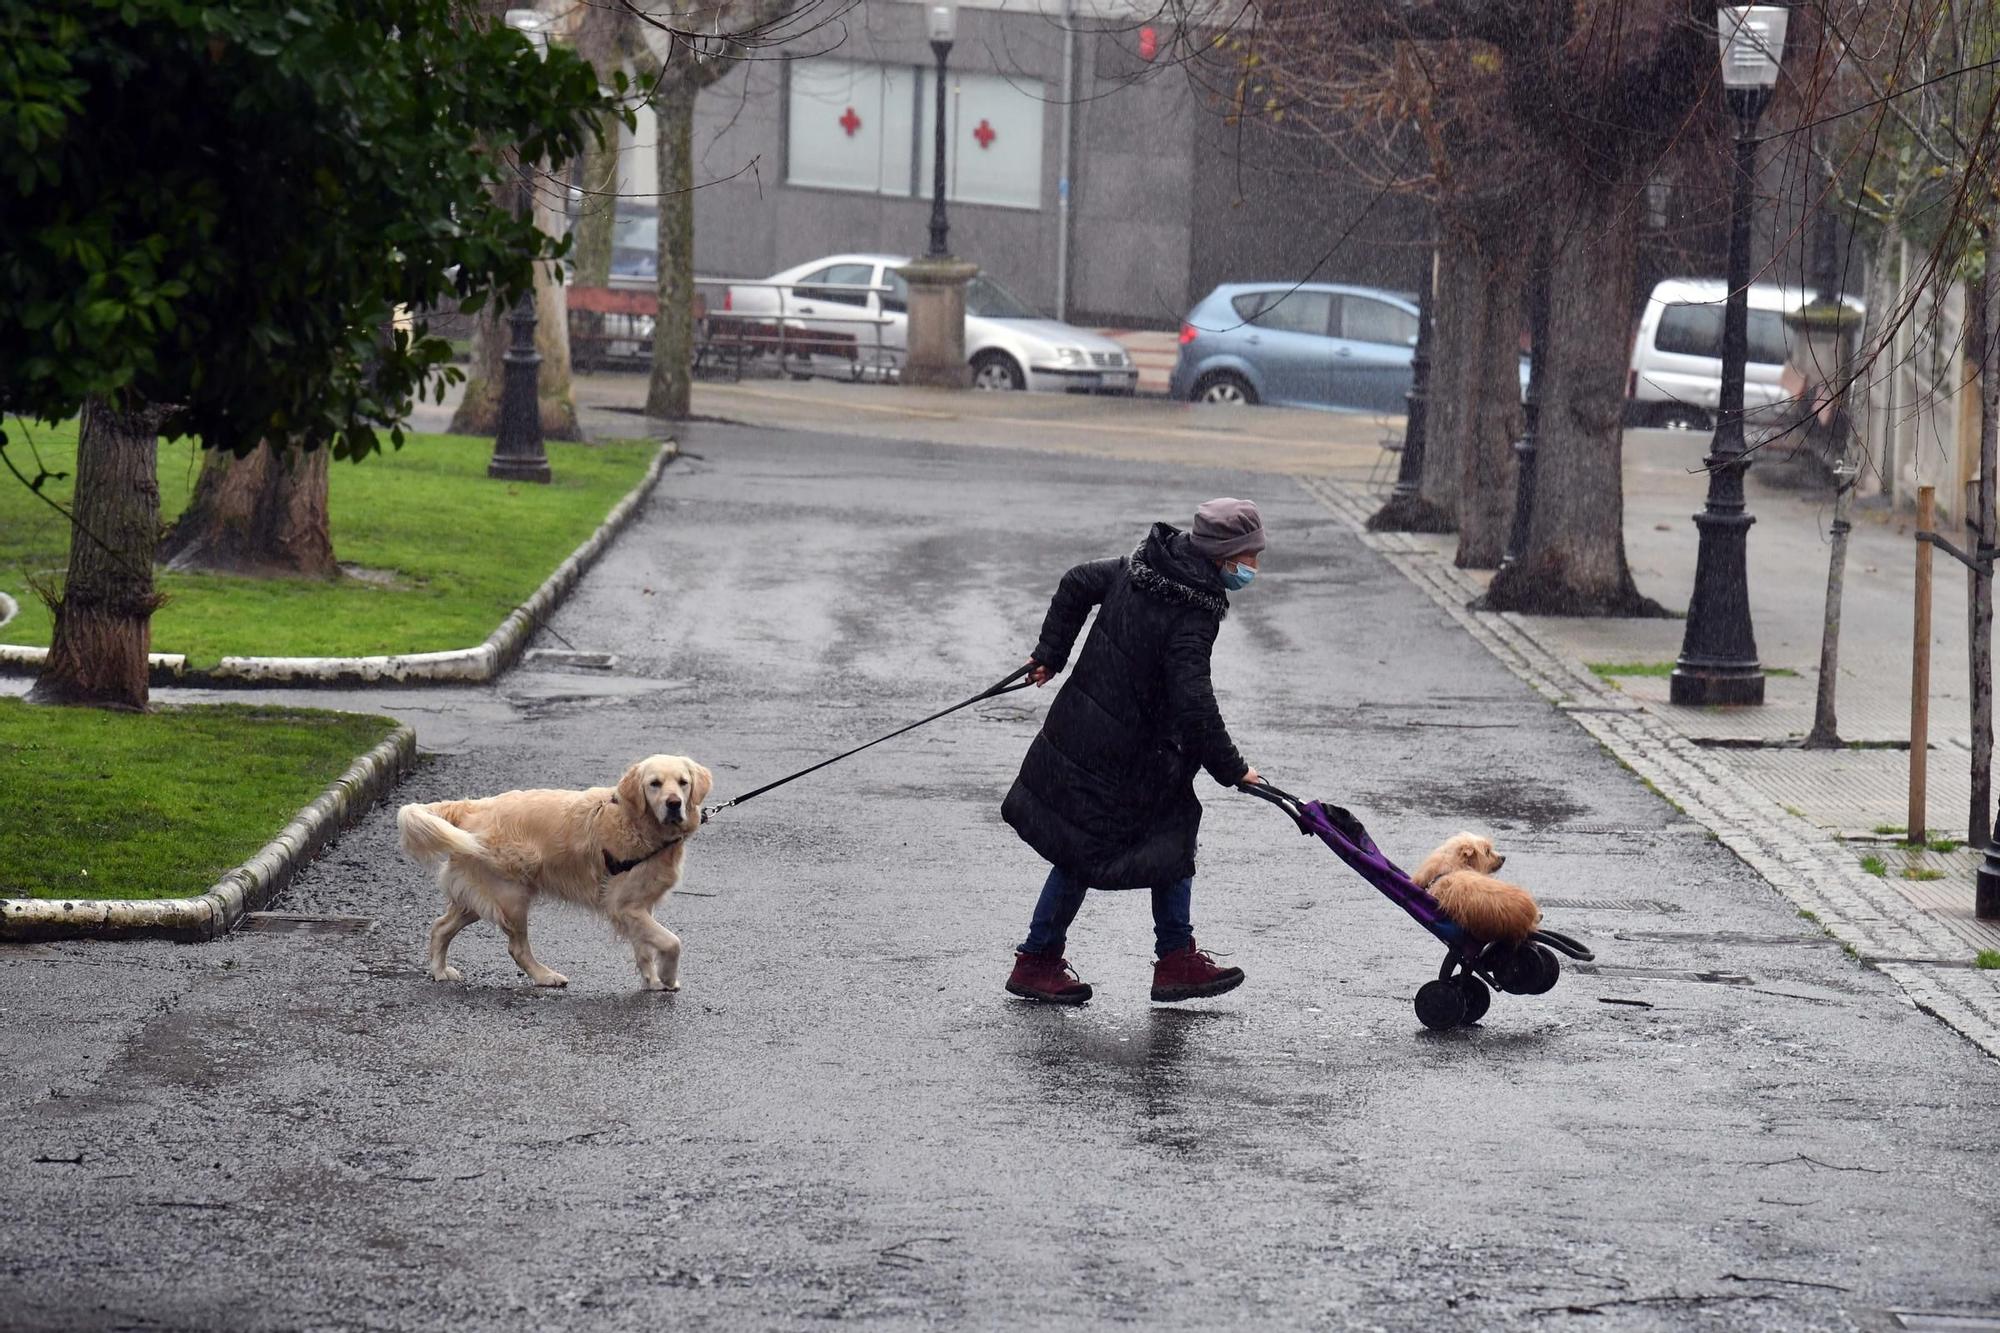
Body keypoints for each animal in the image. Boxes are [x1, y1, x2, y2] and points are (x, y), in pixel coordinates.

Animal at [392, 748, 712, 984]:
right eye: (654, 784)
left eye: (683, 782)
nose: (674, 803)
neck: (635, 821)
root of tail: (472, 807)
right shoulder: (624, 905)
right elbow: (672, 942)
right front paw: (668, 978)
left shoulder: (638, 906)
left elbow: (644, 948)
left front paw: (652, 981)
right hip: (511, 897)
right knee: (516, 947)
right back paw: (546, 976)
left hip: (479, 896)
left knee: (440, 927)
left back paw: (439, 971)